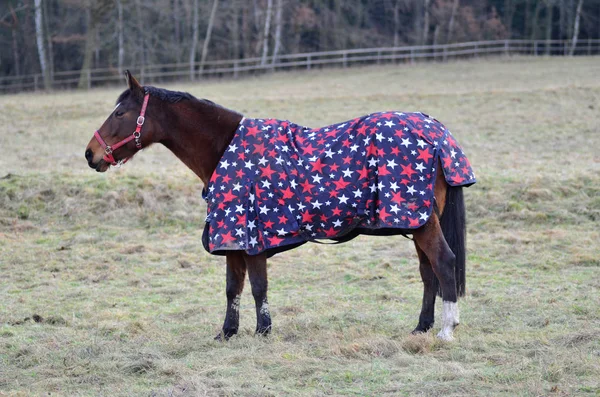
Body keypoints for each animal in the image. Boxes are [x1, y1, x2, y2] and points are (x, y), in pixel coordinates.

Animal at [86, 72, 476, 340]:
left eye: (120, 112)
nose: (91, 154)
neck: (226, 149)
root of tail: (434, 130)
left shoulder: (253, 236)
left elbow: (258, 286)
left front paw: (263, 331)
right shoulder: (234, 240)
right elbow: (233, 287)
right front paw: (227, 333)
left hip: (421, 221)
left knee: (444, 263)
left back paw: (446, 330)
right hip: (418, 221)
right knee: (428, 272)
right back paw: (422, 327)